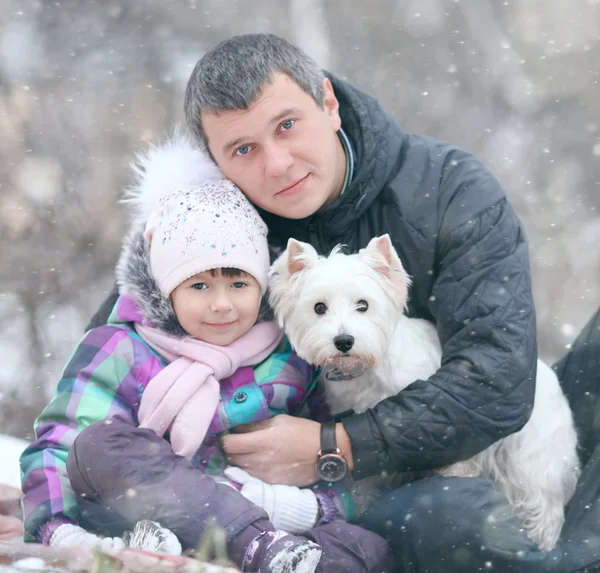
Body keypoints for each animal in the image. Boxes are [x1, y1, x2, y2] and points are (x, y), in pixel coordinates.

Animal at [270, 232, 580, 548]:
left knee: (543, 507)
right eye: (319, 307)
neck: (366, 370)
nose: (344, 341)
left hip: (533, 461)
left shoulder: (449, 423)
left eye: (363, 305)